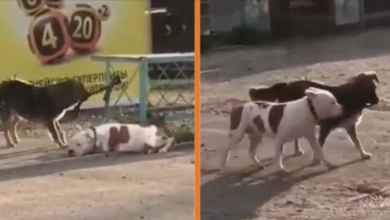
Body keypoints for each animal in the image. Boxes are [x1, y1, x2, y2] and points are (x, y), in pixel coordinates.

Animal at [248, 71, 380, 159]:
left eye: (374, 88)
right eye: (369, 90)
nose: (378, 100)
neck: (352, 97)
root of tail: (287, 84)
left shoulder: (349, 125)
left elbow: (357, 142)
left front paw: (363, 154)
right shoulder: (325, 127)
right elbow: (319, 145)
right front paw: (316, 160)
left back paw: (296, 150)